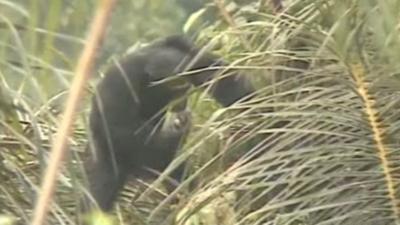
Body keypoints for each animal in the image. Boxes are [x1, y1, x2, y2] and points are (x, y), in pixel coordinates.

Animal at [83, 34, 255, 212]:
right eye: (175, 87)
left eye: (183, 83)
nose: (182, 98)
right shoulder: (118, 87)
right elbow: (121, 131)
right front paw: (178, 130)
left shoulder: (184, 49)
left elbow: (218, 75)